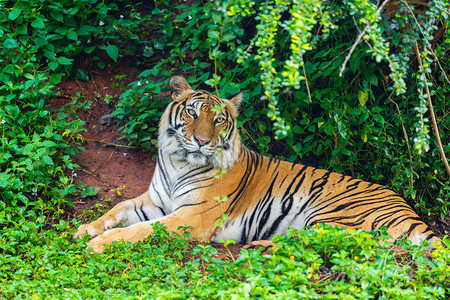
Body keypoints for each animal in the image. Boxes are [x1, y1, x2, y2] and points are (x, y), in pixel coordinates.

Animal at [73, 75, 436, 253]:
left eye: (218, 120)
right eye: (191, 112)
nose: (201, 141)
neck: (179, 162)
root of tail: (413, 214)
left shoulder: (191, 216)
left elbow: (139, 229)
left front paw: (98, 243)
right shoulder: (156, 200)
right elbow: (118, 209)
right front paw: (86, 229)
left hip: (333, 214)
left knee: (319, 239)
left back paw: (253, 244)